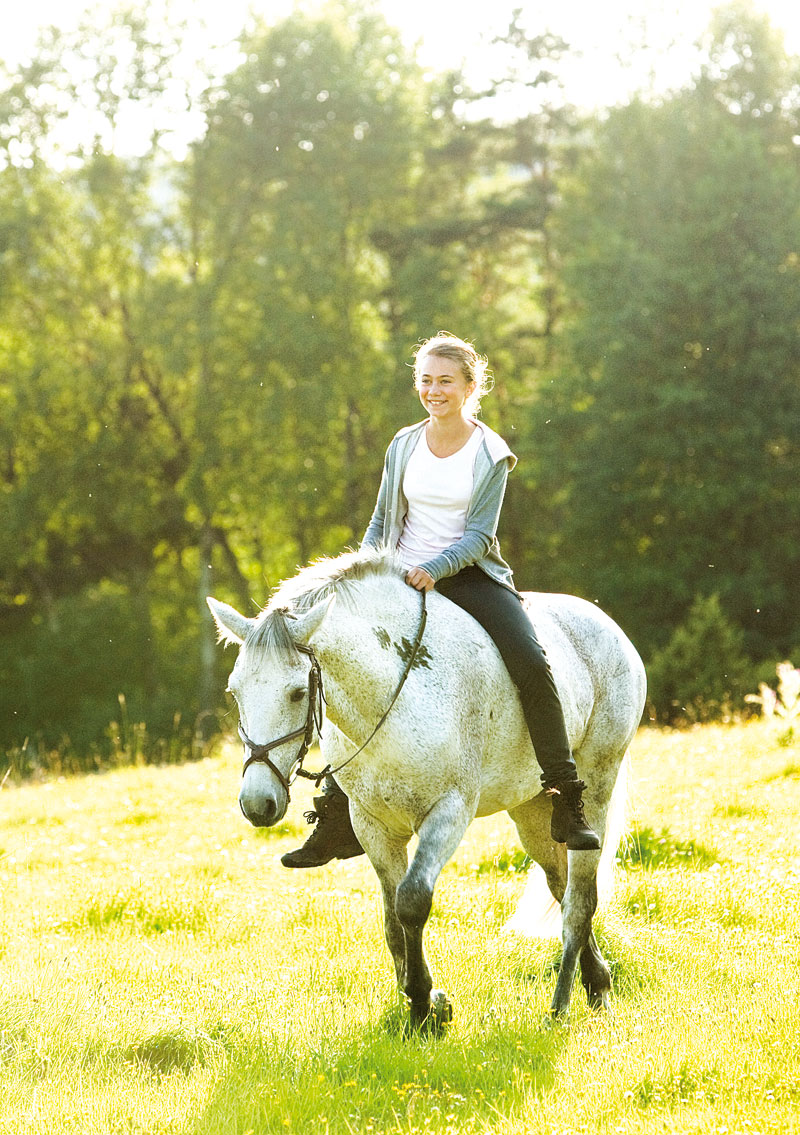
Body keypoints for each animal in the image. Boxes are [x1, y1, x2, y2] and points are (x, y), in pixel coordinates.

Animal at [208, 547, 644, 1030]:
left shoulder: (448, 813)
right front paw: (427, 1002)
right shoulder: (373, 825)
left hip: (597, 784)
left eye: (297, 692)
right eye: (234, 693)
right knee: (560, 886)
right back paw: (596, 983)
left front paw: (424, 1005)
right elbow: (391, 919)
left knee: (580, 898)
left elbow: (412, 901)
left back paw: (564, 1004)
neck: (393, 694)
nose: (258, 803)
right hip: (532, 810)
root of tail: (608, 626)